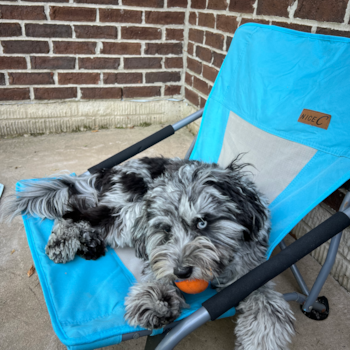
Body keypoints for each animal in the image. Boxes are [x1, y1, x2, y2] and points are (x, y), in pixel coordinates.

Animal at [0, 158, 296, 350]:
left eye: (203, 223)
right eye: (165, 228)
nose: (182, 272)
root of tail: (106, 173)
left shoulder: (253, 272)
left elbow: (269, 304)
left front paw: (263, 338)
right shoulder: (152, 238)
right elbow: (156, 263)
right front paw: (157, 298)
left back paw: (88, 243)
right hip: (126, 212)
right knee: (73, 212)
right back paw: (62, 241)